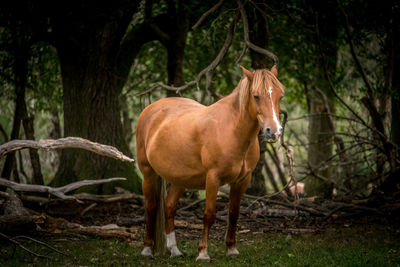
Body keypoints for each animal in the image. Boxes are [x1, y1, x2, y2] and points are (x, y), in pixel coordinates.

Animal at [136, 65, 282, 262]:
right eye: (256, 96)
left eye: (280, 96)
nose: (273, 132)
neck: (231, 130)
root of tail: (151, 109)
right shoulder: (213, 178)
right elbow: (209, 215)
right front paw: (203, 252)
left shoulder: (242, 180)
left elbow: (234, 213)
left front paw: (231, 249)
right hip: (148, 173)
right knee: (151, 206)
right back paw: (147, 249)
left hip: (180, 179)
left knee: (169, 207)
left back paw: (174, 250)